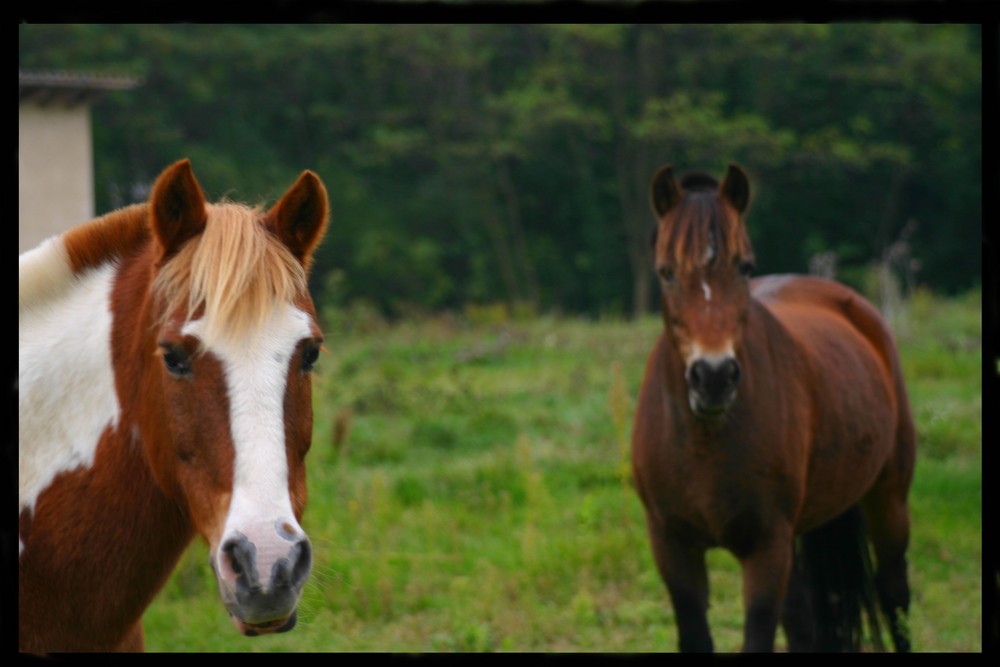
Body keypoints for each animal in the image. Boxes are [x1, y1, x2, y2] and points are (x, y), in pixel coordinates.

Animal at [632, 163, 916, 652]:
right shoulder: (671, 544)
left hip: (888, 499)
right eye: (666, 273)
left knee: (894, 598)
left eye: (744, 267)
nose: (714, 376)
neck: (704, 441)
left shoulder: (767, 546)